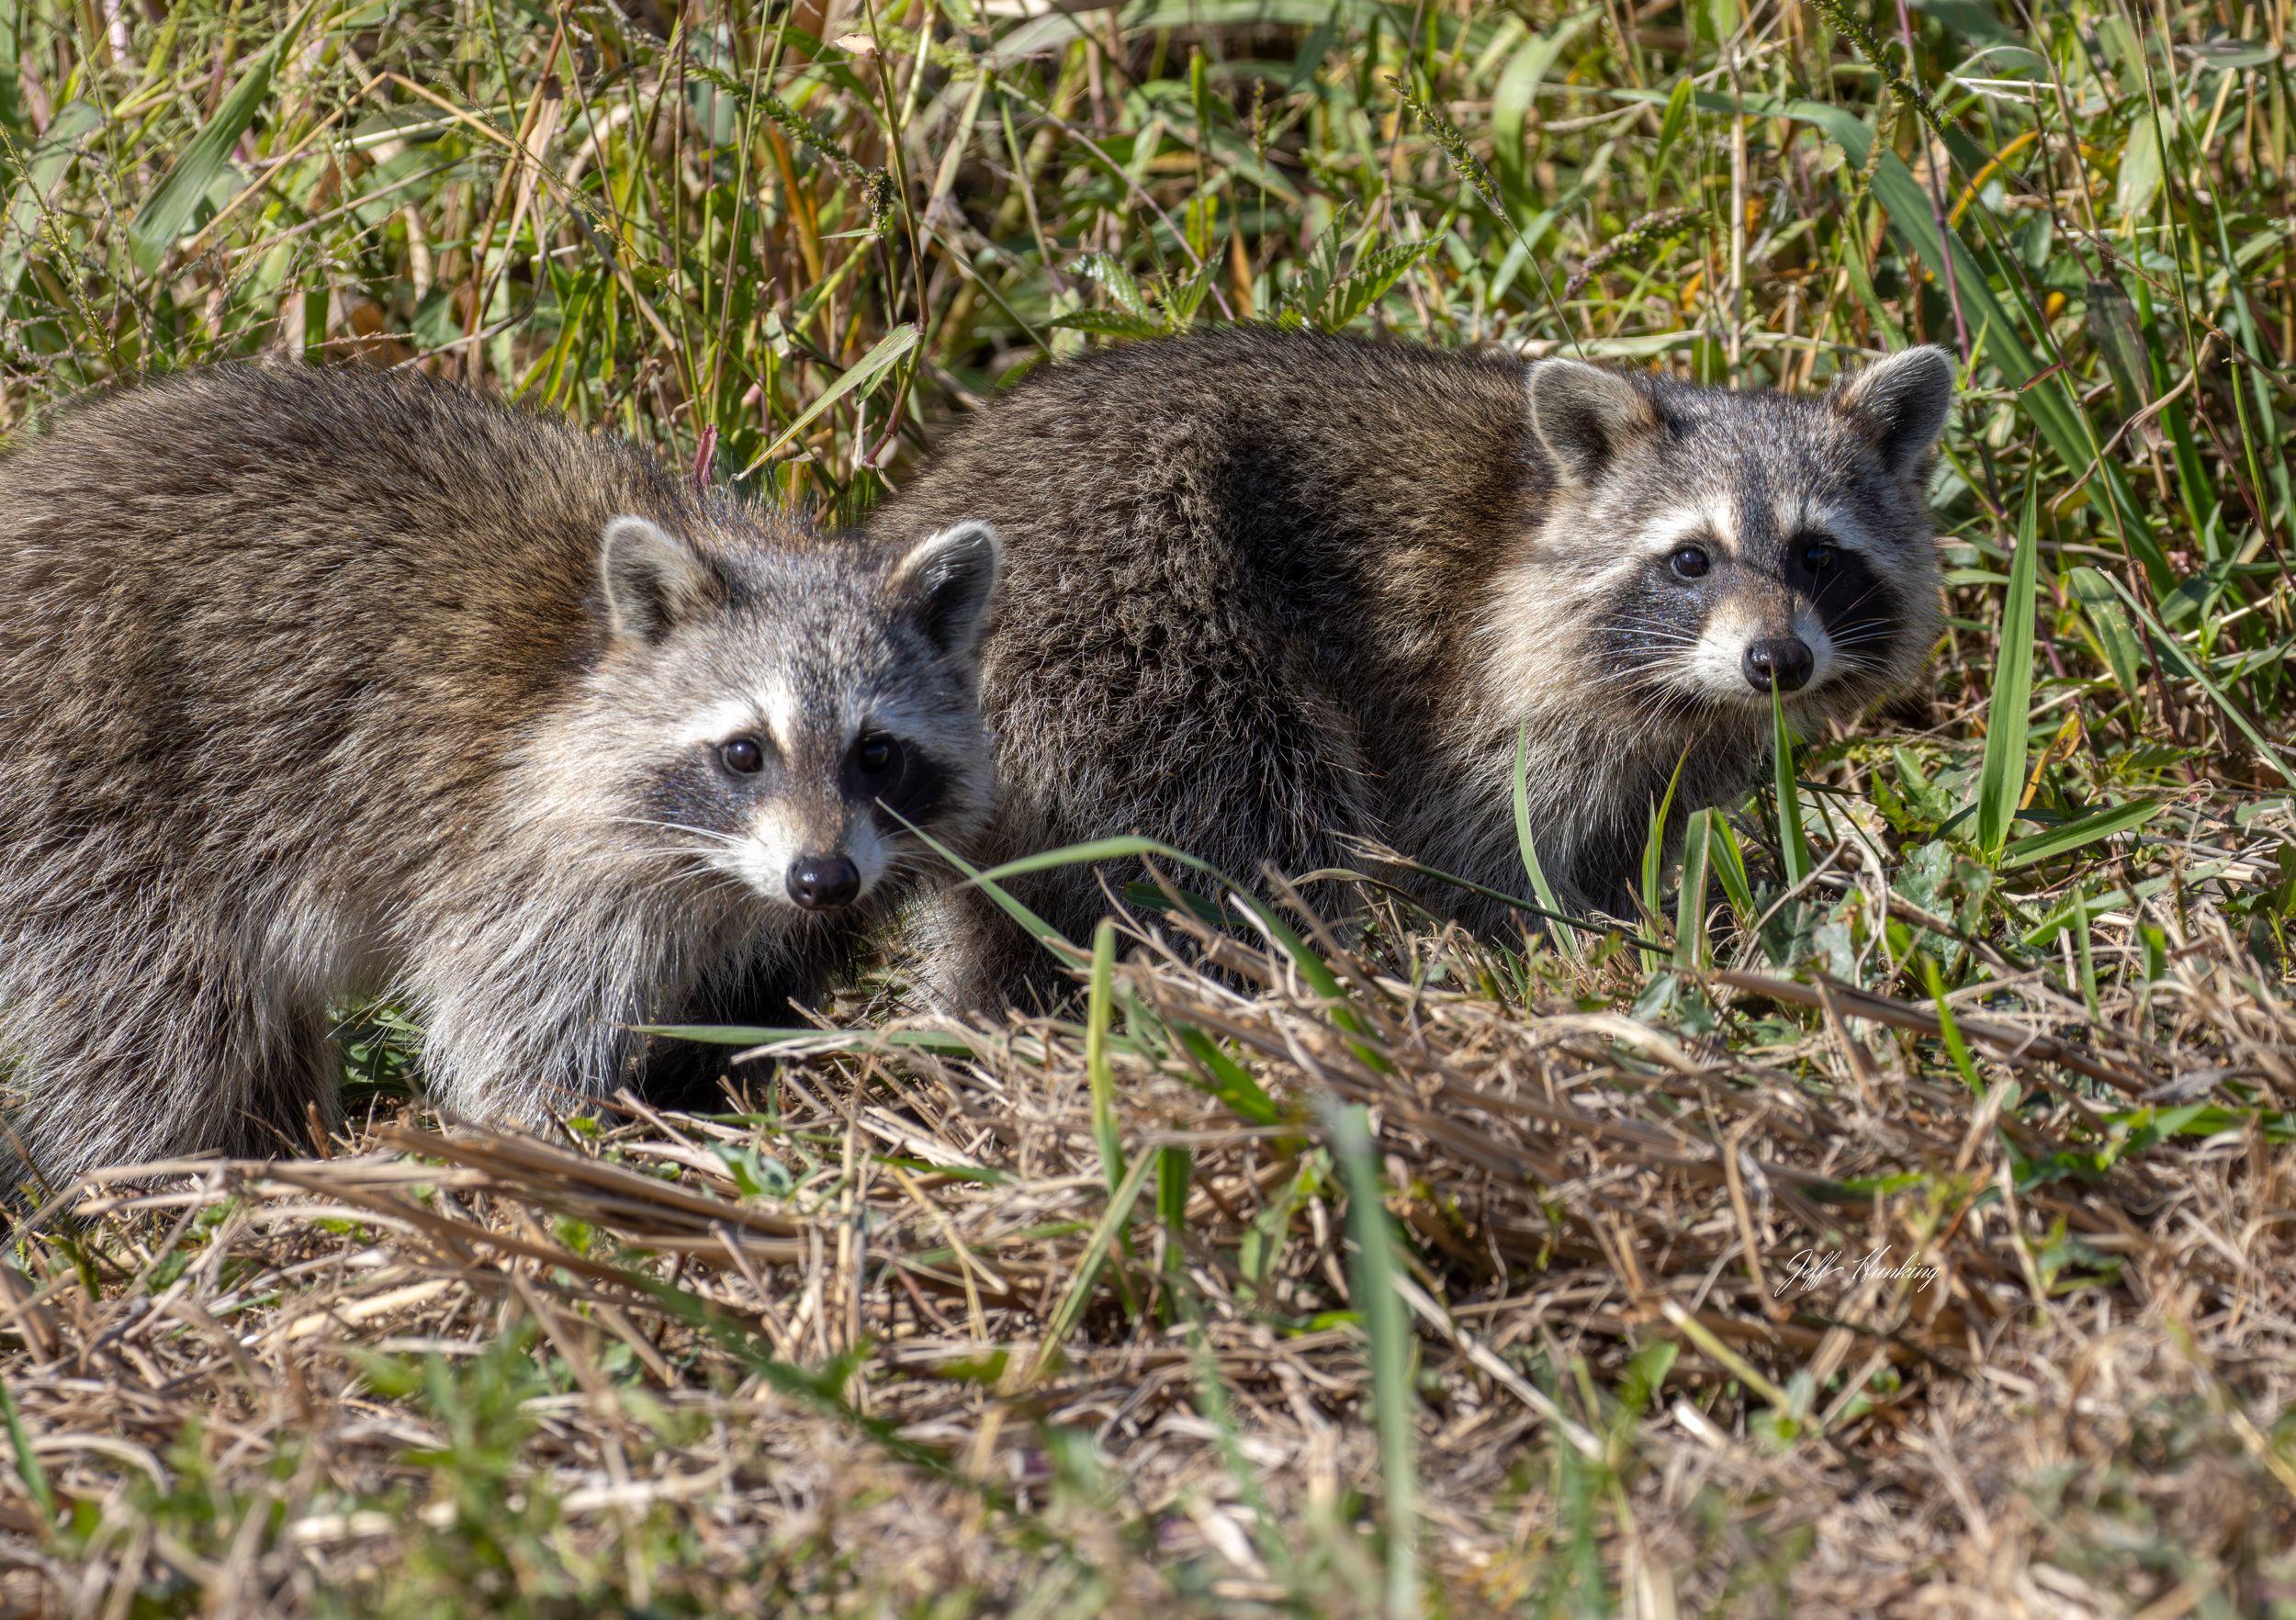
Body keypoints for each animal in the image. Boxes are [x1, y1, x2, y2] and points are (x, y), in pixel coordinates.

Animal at [0, 364, 1000, 1180]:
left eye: (877, 753)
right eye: (745, 752)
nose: (823, 880)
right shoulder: (513, 844)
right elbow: (516, 1014)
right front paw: (554, 1136)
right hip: (92, 785)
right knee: (158, 1019)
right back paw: (143, 1182)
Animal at [872, 327, 1952, 1007]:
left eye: (1818, 556)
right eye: (1692, 559)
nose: (1777, 660)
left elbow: (1635, 838)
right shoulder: (1474, 683)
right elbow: (1476, 849)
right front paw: (1552, 954)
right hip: (1141, 622)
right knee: (1259, 818)